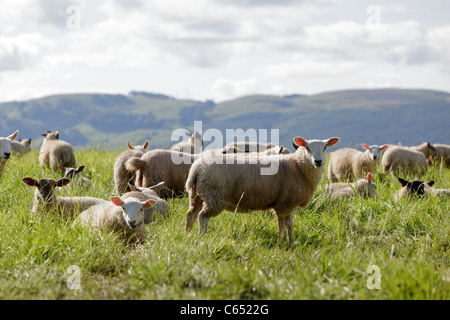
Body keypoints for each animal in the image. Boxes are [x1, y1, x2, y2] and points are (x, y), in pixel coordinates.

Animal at [183, 136, 338, 242]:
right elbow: (289, 225)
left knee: (191, 214)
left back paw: (188, 234)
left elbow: (281, 224)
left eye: (325, 148)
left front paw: (281, 241)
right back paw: (202, 237)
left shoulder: (280, 204)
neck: (297, 166)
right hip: (214, 197)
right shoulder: (287, 203)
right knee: (203, 217)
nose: (318, 161)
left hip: (197, 195)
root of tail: (198, 167)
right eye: (307, 148)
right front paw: (291, 242)